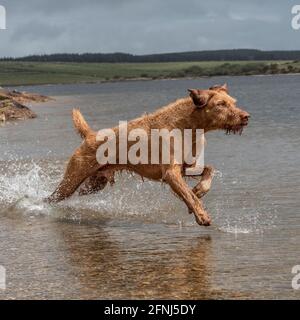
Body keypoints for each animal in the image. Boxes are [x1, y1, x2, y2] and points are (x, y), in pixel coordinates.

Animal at [48, 84, 250, 226]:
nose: (246, 116)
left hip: (95, 183)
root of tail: (90, 135)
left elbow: (208, 170)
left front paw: (200, 190)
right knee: (51, 197)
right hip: (71, 181)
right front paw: (201, 215)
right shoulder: (171, 173)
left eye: (233, 102)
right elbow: (188, 195)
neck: (188, 125)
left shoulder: (187, 167)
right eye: (221, 104)